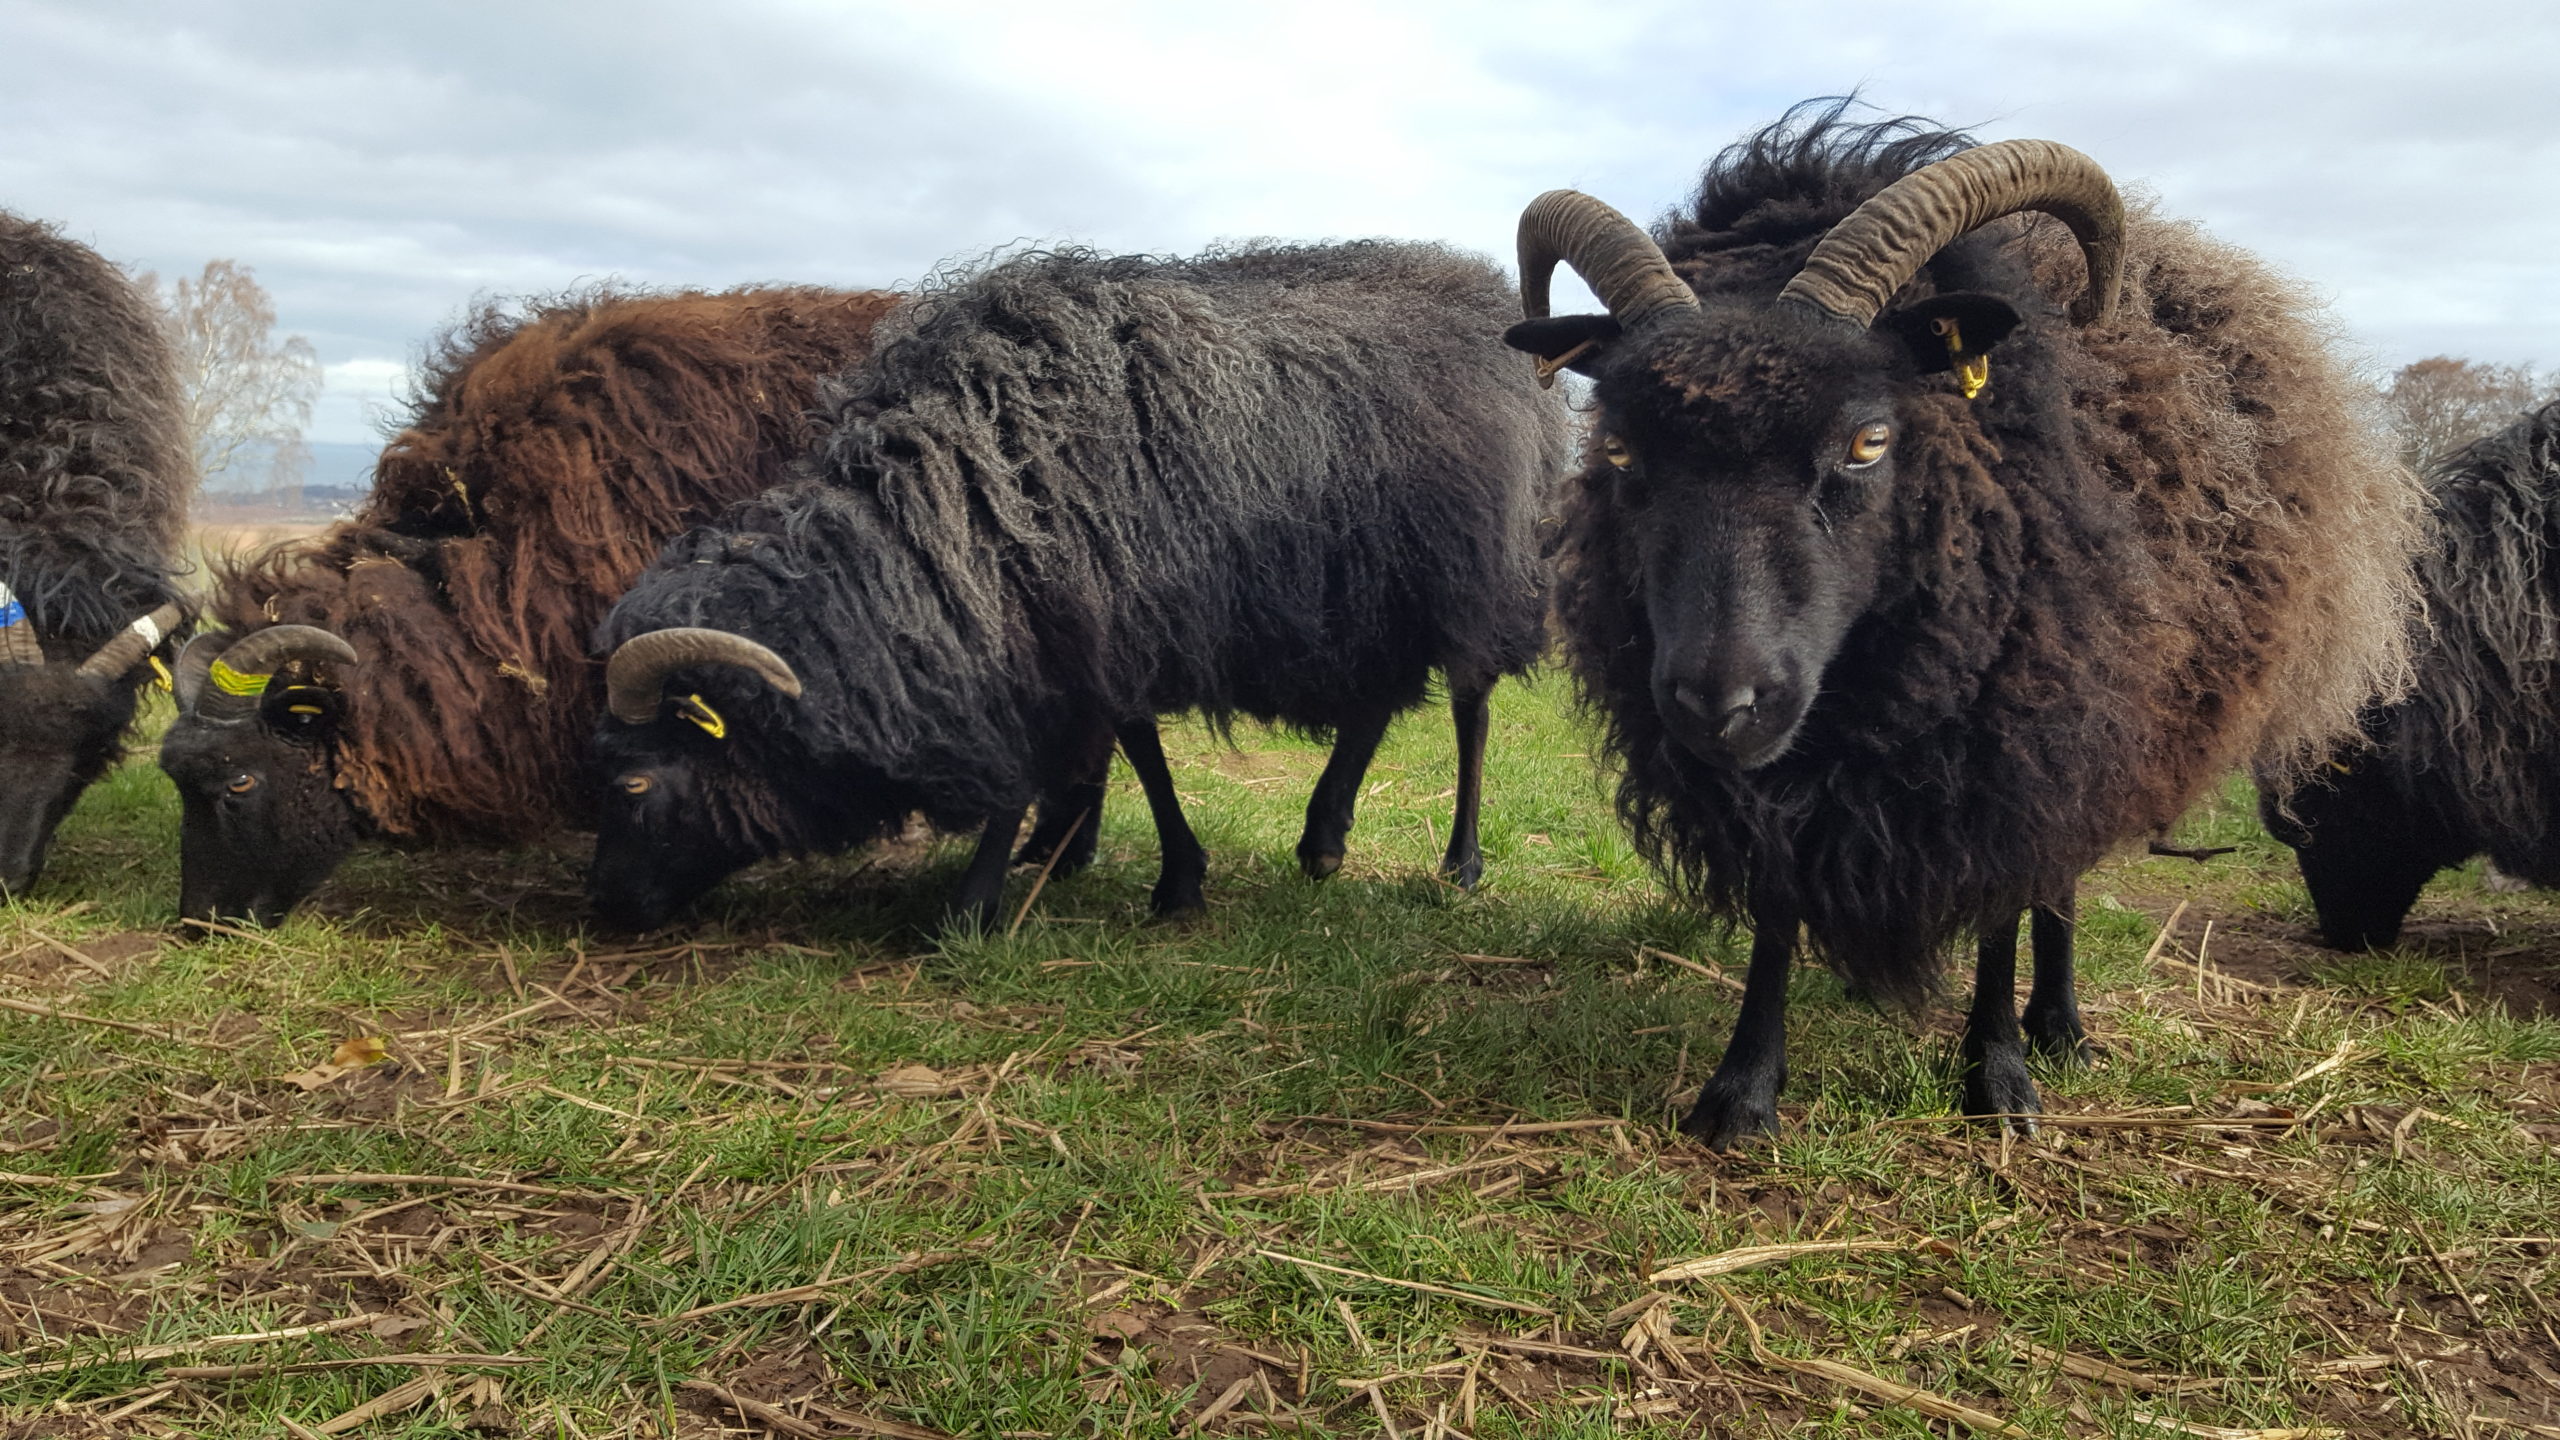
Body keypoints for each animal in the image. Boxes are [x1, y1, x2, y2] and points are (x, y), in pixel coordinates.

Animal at [588, 239, 1566, 922]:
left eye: (633, 786)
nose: (606, 910)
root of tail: (1483, 290)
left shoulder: (1091, 623)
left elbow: (1092, 751)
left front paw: (986, 899)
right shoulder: (1078, 624)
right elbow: (1124, 744)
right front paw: (1104, 860)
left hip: (1485, 574)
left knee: (1470, 712)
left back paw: (1460, 864)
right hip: (1375, 597)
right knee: (1372, 705)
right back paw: (1322, 840)